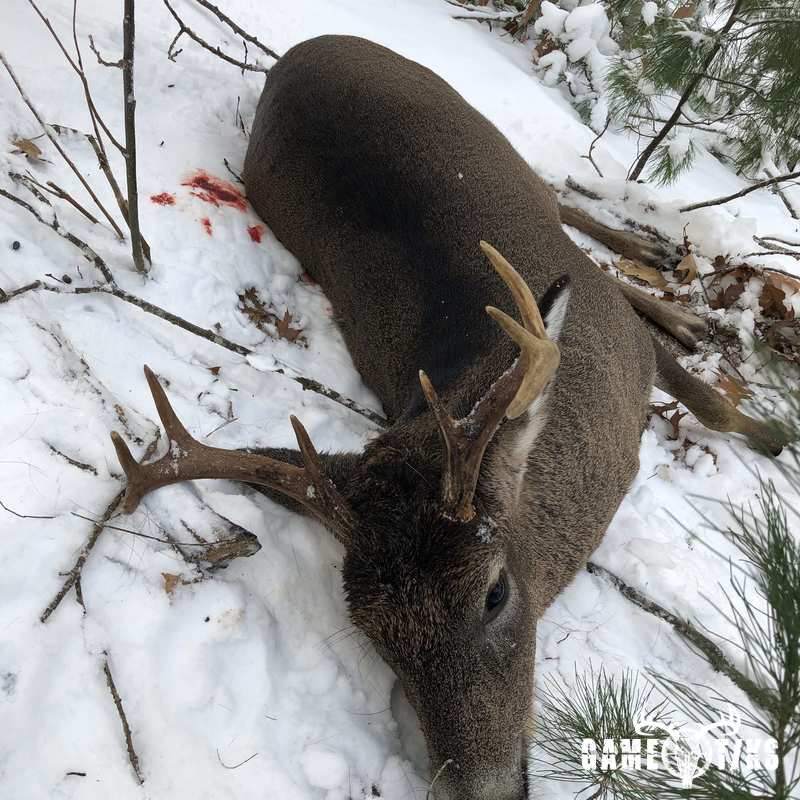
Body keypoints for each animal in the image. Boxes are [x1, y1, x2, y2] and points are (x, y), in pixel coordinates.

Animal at [111, 35, 784, 800]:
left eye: (495, 593)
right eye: (379, 639)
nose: (481, 791)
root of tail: (301, 49)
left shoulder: (630, 346)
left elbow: (713, 404)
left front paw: (773, 434)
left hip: (480, 127)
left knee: (561, 200)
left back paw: (667, 269)